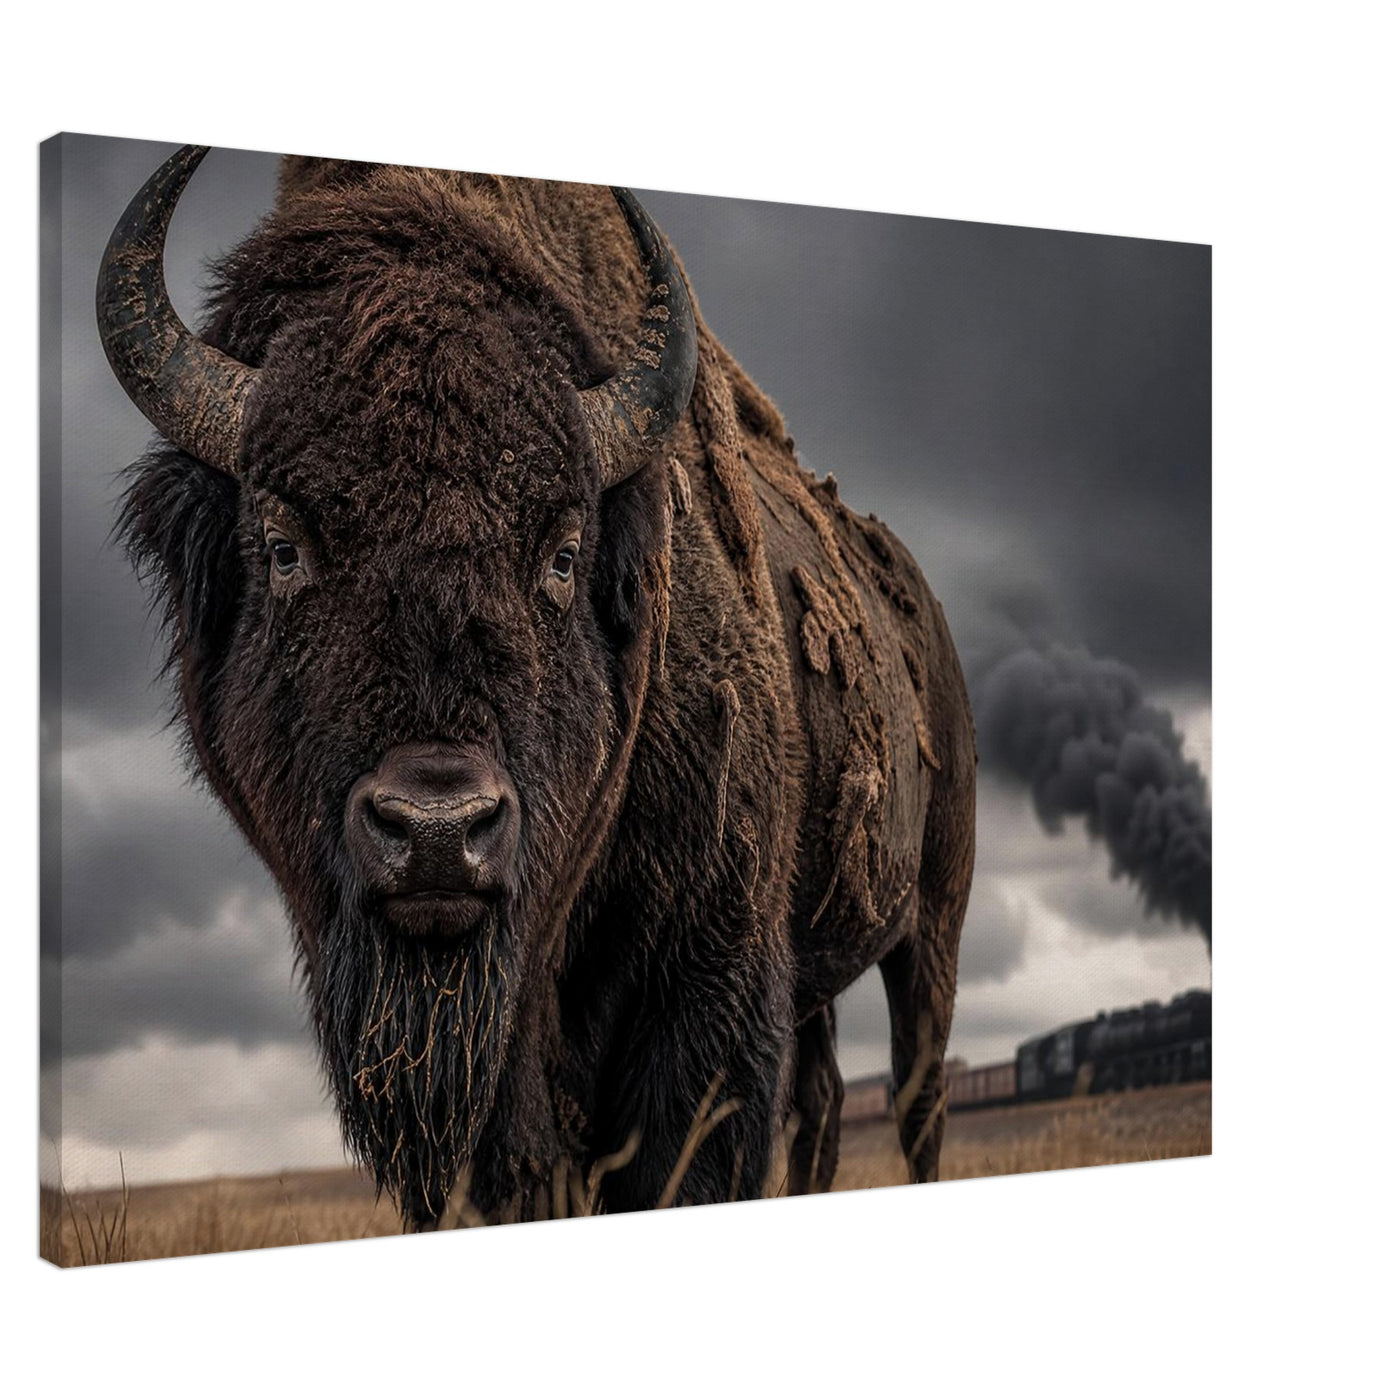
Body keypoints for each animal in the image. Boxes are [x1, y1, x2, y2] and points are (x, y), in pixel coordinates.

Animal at [98, 146, 976, 1229]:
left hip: (932, 926)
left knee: (915, 1092)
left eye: (562, 553)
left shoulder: (709, 988)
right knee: (823, 1105)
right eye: (282, 544)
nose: (438, 830)